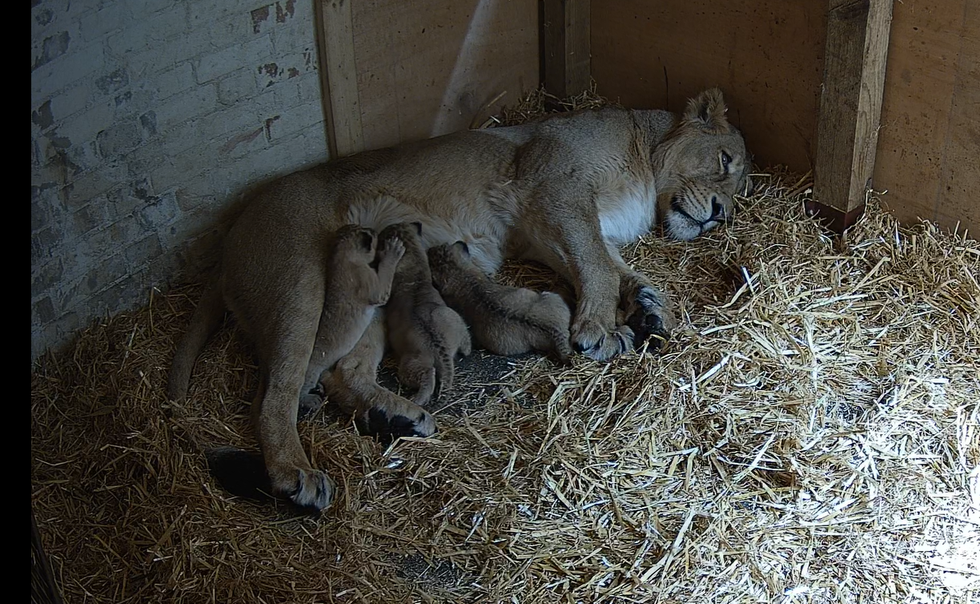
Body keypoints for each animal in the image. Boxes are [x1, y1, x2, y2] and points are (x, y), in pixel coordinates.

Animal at [168, 88, 751, 511]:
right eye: (725, 161)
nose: (721, 213)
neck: (645, 159)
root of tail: (229, 240)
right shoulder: (555, 188)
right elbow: (597, 265)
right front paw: (600, 329)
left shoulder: (543, 229)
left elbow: (611, 265)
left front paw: (649, 306)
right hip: (299, 284)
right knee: (276, 391)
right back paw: (296, 473)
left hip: (364, 298)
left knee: (340, 373)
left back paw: (395, 418)